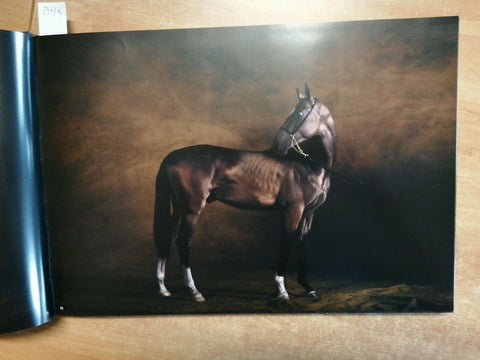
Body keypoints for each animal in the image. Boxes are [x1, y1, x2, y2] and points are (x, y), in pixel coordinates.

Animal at [154, 84, 338, 300]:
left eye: (299, 113)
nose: (277, 144)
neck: (310, 166)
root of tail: (171, 156)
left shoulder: (309, 213)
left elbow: (302, 243)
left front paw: (308, 287)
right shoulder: (293, 210)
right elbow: (285, 244)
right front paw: (282, 289)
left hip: (179, 206)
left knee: (168, 236)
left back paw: (163, 288)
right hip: (192, 209)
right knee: (183, 242)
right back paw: (194, 291)